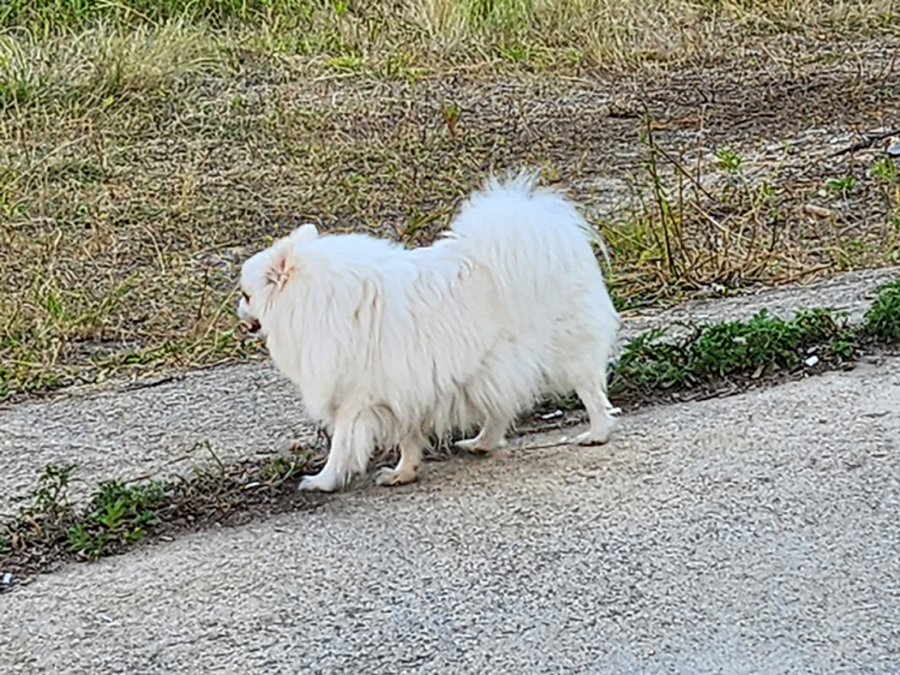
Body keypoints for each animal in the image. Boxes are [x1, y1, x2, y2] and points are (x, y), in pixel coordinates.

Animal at [237, 172, 620, 494]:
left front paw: (323, 481)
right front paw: (403, 472)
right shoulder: (405, 388)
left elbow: (342, 445)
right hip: (492, 366)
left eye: (246, 295)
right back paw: (481, 443)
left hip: (564, 351)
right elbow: (408, 438)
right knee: (500, 407)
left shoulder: (357, 397)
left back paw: (596, 433)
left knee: (592, 394)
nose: (237, 309)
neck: (315, 297)